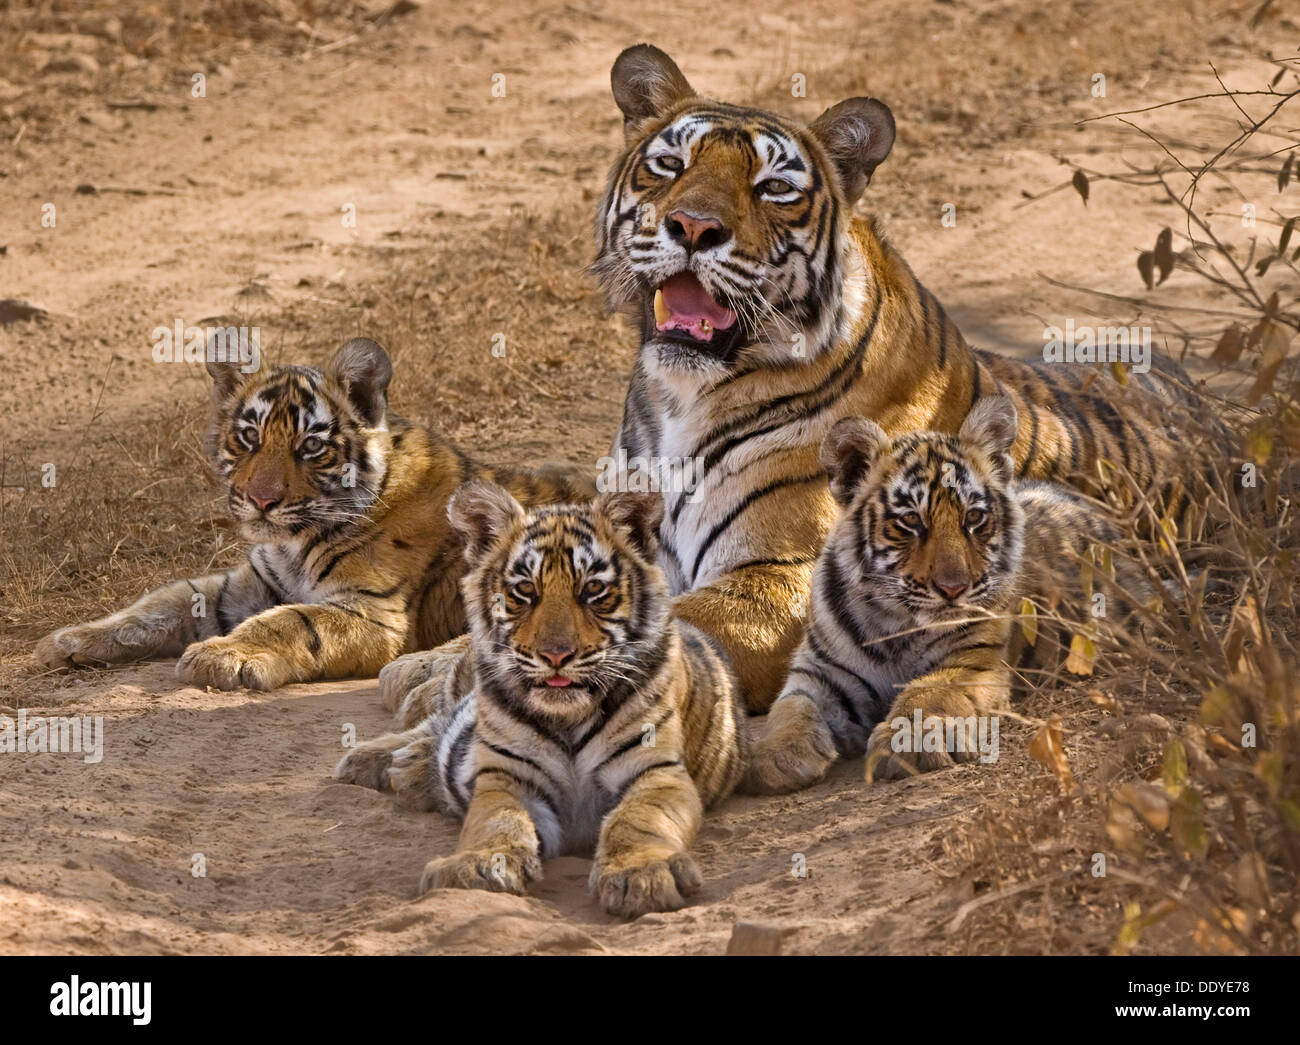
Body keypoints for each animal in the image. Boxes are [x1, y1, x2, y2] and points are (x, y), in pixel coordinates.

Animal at [32, 338, 594, 690]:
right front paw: (69, 639)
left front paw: (224, 656)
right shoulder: (247, 584)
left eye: (310, 447)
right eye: (249, 437)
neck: (295, 540)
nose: (261, 500)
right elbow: (159, 603)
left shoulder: (372, 612)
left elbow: (291, 622)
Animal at [333, 482, 748, 919]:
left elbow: (638, 819)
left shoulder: (656, 771)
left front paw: (641, 875)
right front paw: (477, 866)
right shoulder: (507, 776)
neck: (568, 718)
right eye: (524, 590)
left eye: (593, 589)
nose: (556, 655)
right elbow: (496, 821)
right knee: (435, 722)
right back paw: (378, 761)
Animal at [744, 395, 1154, 790]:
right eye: (911, 521)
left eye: (973, 518)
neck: (895, 622)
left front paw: (909, 742)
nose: (953, 588)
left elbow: (927, 693)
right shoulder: (822, 672)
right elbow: (791, 709)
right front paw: (773, 755)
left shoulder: (972, 659)